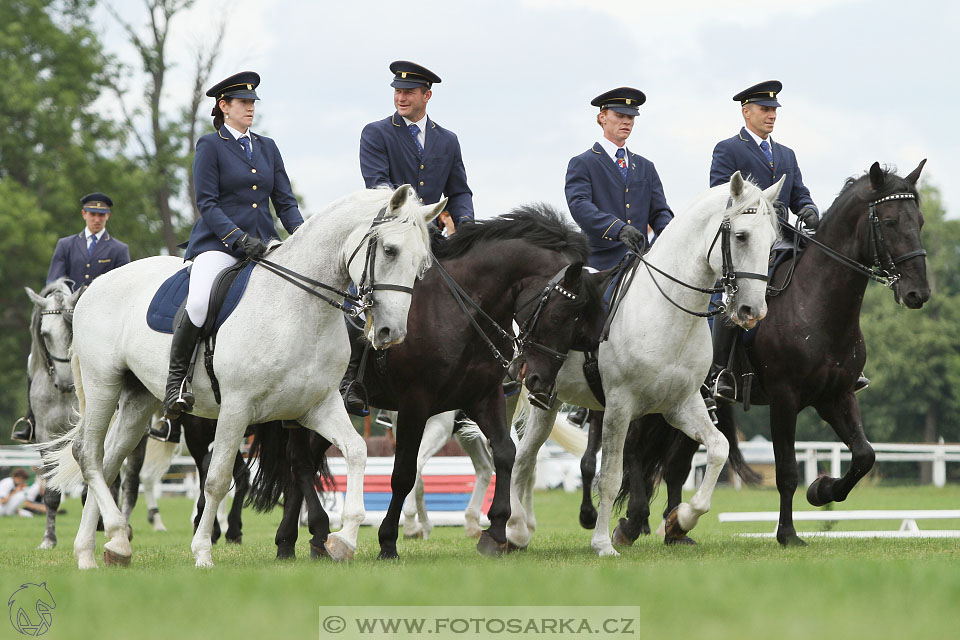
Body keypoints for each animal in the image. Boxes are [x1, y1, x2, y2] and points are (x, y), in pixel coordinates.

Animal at [47, 186, 444, 568]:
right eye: (390, 251)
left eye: (421, 263)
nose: (392, 332)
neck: (298, 308)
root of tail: (94, 286)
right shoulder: (236, 408)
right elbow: (218, 479)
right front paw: (203, 551)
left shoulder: (318, 406)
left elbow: (357, 451)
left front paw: (343, 539)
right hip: (103, 384)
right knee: (88, 454)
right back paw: (109, 536)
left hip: (138, 398)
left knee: (108, 461)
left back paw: (101, 548)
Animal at [251, 206, 604, 560]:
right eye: (560, 315)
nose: (537, 379)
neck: (457, 311)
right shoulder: (415, 405)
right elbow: (405, 473)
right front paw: (389, 540)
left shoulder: (484, 397)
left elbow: (505, 453)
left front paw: (496, 532)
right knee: (299, 462)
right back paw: (310, 533)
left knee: (305, 462)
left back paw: (298, 540)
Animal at [506, 174, 784, 556]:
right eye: (741, 236)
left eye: (772, 242)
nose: (752, 311)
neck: (670, 311)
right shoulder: (621, 407)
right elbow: (610, 476)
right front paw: (604, 543)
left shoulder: (681, 405)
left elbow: (717, 449)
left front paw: (680, 520)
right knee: (519, 459)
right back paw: (512, 529)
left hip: (548, 398)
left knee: (528, 460)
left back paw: (523, 528)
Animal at [608, 161, 928, 544]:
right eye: (891, 222)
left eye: (920, 222)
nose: (918, 293)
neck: (816, 305)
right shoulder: (784, 398)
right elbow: (787, 471)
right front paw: (788, 533)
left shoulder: (836, 395)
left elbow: (865, 455)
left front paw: (822, 490)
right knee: (634, 448)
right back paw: (633, 522)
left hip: (689, 400)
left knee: (675, 465)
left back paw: (675, 528)